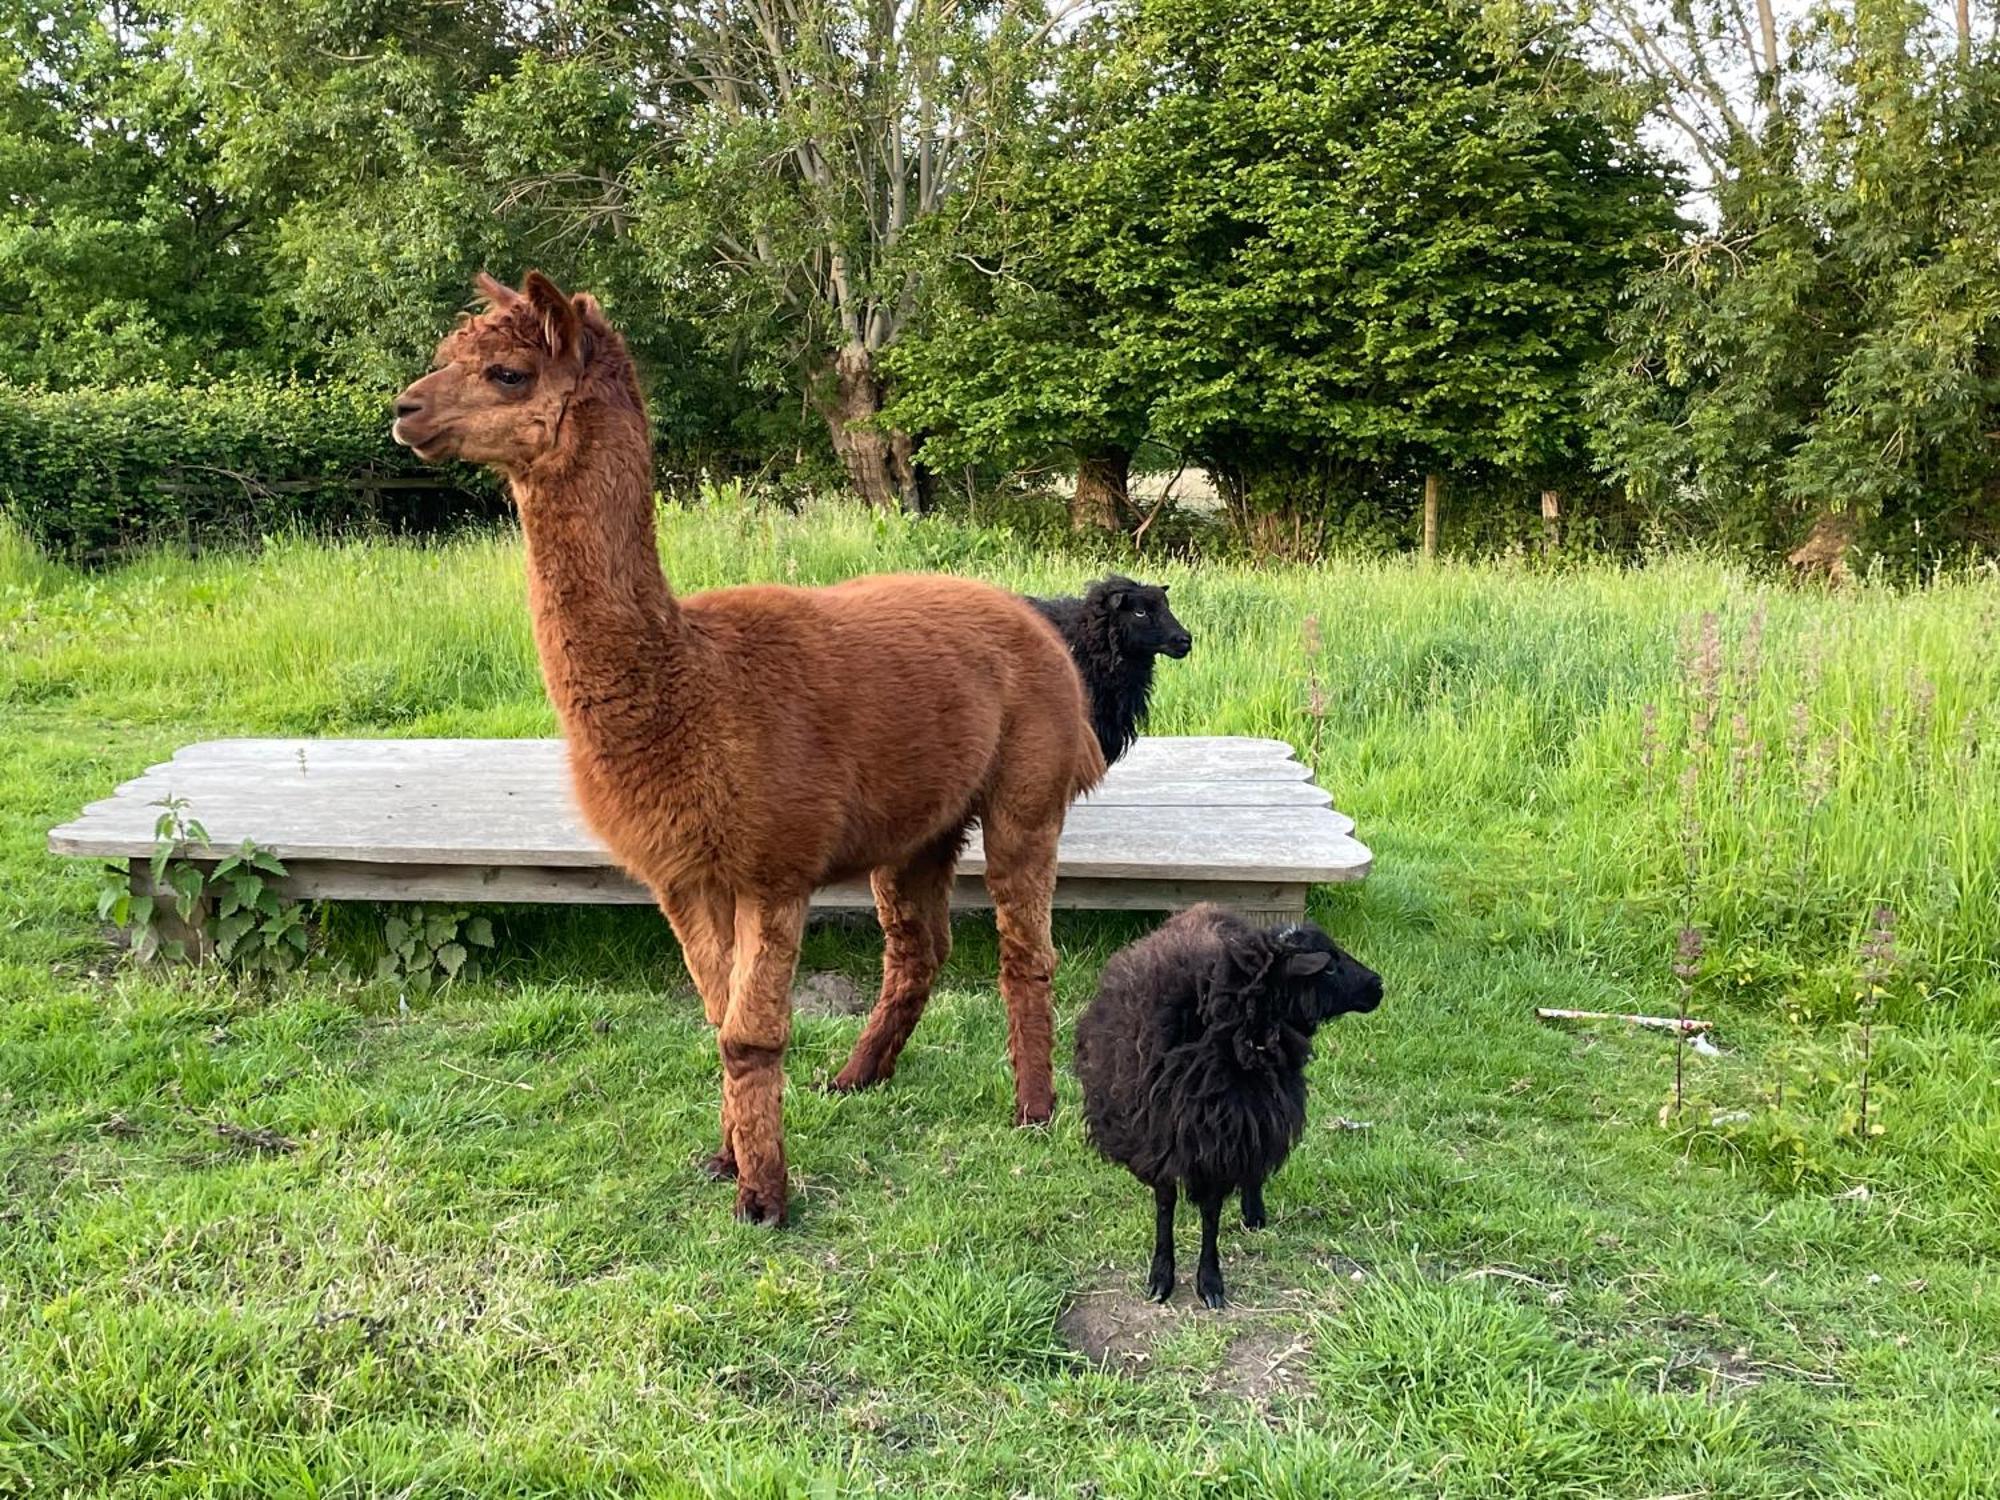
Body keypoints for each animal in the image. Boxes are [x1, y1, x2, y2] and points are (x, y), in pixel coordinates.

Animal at [1072, 912, 1384, 1312]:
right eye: (1328, 967)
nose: (1378, 985)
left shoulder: (1226, 1139)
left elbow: (1211, 1213)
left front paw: (1210, 1282)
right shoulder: (1158, 1137)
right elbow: (1165, 1205)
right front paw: (1161, 1277)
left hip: (1256, 1118)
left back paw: (1253, 1212)